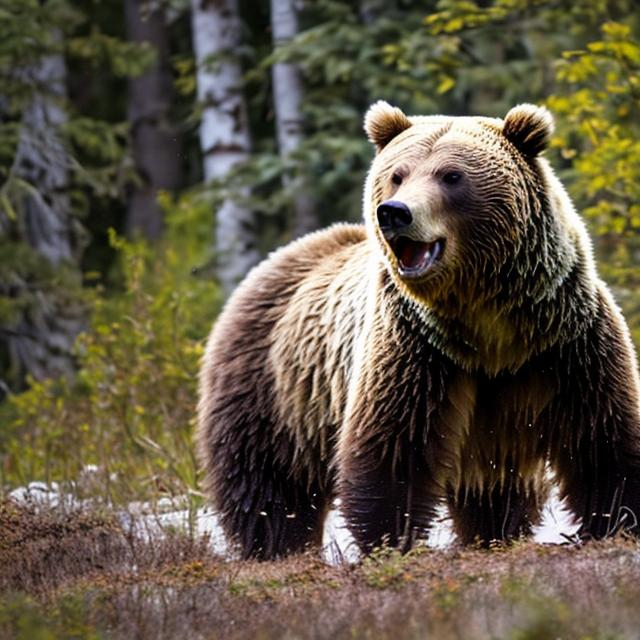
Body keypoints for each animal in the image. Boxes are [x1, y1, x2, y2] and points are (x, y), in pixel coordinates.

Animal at [195, 101, 640, 560]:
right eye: (398, 173)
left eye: (451, 175)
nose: (394, 212)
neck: (489, 322)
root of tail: (276, 259)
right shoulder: (417, 347)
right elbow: (394, 446)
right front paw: (391, 540)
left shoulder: (565, 340)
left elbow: (601, 436)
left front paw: (616, 520)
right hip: (276, 393)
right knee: (269, 485)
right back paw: (277, 546)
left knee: (496, 488)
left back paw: (492, 533)